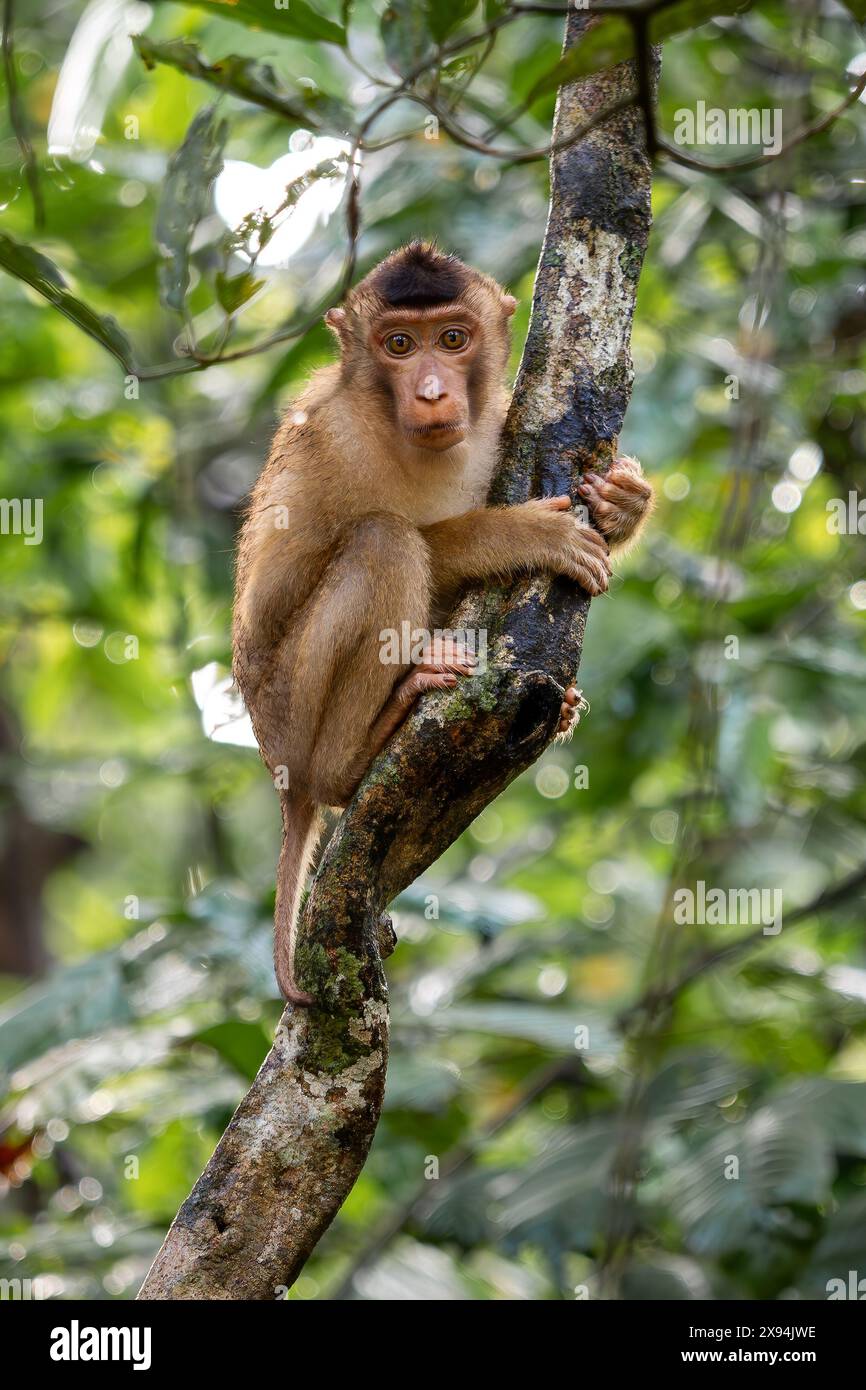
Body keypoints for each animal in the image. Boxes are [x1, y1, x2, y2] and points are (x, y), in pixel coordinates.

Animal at [232, 242, 654, 1004]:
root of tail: (281, 778)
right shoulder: (329, 440)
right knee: (385, 541)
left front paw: (624, 501)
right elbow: (280, 590)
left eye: (453, 339)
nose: (431, 393)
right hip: (288, 710)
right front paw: (516, 533)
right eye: (399, 345)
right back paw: (353, 758)